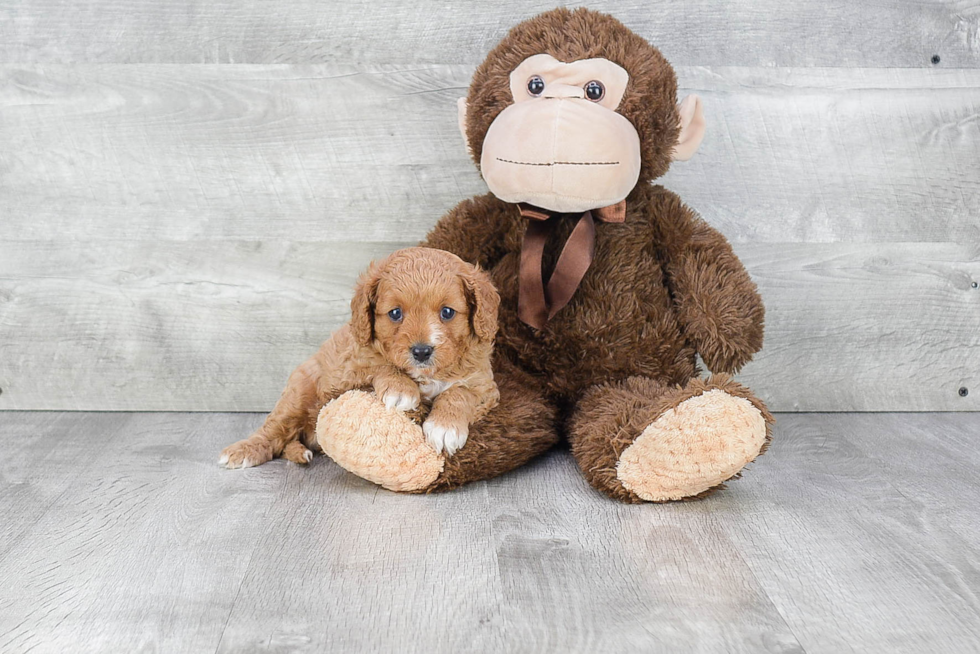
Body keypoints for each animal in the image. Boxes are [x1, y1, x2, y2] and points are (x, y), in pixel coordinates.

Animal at [219, 247, 502, 472]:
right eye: (395, 313)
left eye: (447, 312)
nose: (421, 351)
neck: (427, 374)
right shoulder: (344, 373)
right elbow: (378, 364)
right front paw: (401, 389)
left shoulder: (485, 385)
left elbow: (460, 392)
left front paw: (445, 427)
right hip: (298, 393)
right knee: (274, 430)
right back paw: (242, 452)